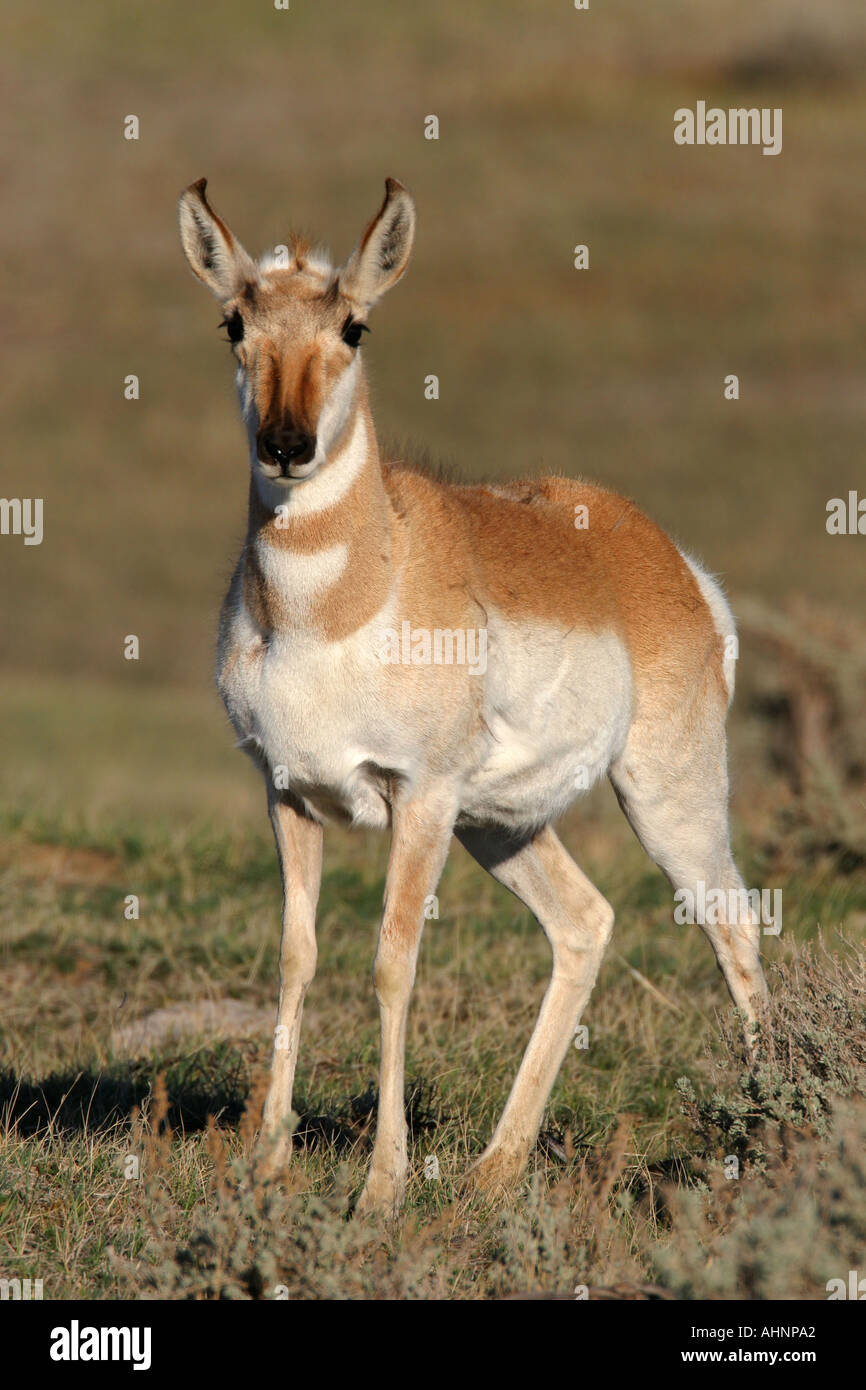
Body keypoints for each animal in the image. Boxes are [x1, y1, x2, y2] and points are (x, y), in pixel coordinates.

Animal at [178, 176, 768, 1215]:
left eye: (355, 325)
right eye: (234, 322)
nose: (287, 445)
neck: (335, 603)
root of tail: (657, 553)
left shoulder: (417, 798)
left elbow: (391, 966)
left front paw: (380, 1187)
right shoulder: (287, 793)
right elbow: (297, 957)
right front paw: (267, 1162)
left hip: (665, 801)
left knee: (735, 928)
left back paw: (774, 1137)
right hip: (502, 825)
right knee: (585, 924)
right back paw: (496, 1168)